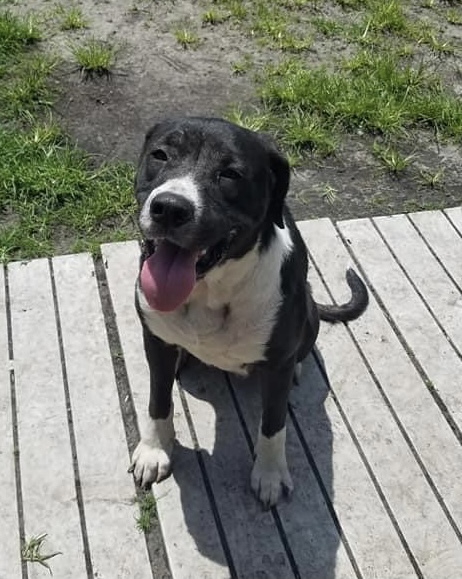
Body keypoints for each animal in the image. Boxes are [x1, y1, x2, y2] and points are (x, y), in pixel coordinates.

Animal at [127, 116, 368, 508]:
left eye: (231, 174)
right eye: (160, 154)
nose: (170, 208)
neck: (210, 291)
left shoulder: (277, 367)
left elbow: (273, 424)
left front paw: (269, 475)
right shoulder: (156, 340)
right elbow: (157, 400)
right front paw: (154, 449)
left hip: (308, 317)